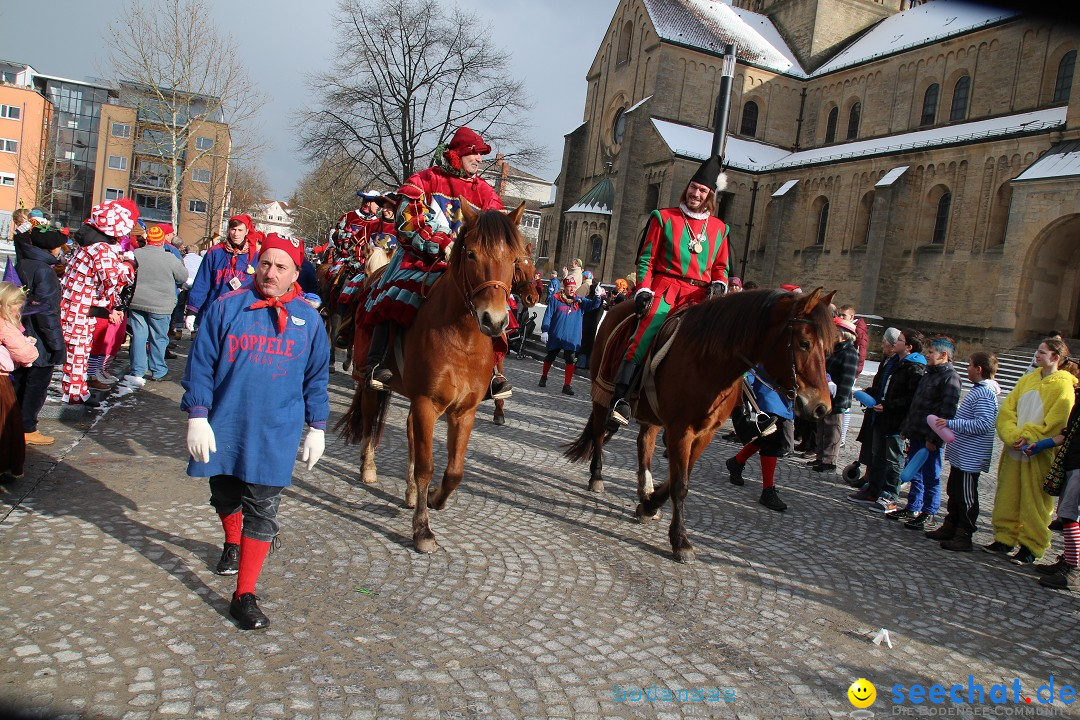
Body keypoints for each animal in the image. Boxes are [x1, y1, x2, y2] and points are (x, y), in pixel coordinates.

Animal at [334, 201, 524, 552]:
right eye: (471, 254)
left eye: (515, 260)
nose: (494, 321)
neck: (462, 339)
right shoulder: (426, 401)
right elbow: (427, 466)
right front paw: (422, 528)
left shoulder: (463, 411)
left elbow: (454, 471)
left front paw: (434, 499)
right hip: (370, 381)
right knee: (368, 419)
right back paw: (368, 468)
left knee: (409, 433)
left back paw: (410, 493)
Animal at [565, 287, 833, 561]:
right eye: (804, 343)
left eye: (830, 349)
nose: (822, 407)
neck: (710, 361)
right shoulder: (681, 430)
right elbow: (680, 484)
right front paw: (680, 540)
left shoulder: (704, 433)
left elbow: (678, 478)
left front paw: (649, 505)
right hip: (603, 395)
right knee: (599, 434)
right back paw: (597, 476)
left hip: (651, 414)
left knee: (644, 444)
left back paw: (644, 490)